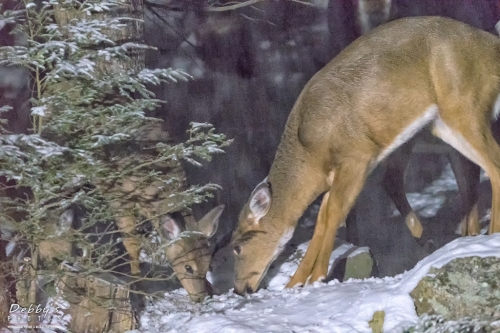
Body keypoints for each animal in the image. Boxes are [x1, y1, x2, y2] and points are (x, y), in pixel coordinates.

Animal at [232, 16, 500, 294]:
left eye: (237, 247)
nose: (239, 288)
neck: (309, 152)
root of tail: (492, 46)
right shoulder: (335, 175)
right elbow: (322, 219)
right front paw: (295, 282)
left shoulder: (357, 155)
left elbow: (334, 214)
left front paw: (317, 276)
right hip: (442, 126)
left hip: (463, 107)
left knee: (493, 165)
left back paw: (490, 234)